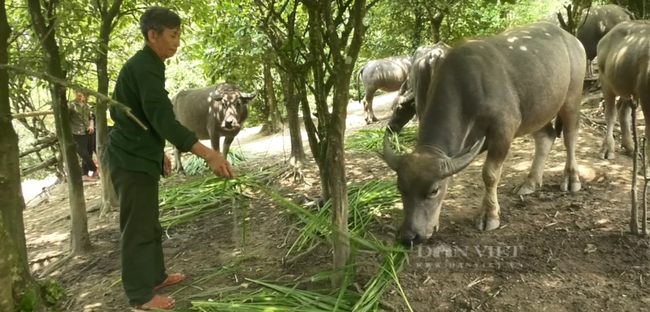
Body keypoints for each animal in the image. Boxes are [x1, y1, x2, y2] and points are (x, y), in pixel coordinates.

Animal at [378, 21, 584, 246]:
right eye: (400, 188)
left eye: (434, 190)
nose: (409, 236)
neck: (468, 88)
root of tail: (571, 39)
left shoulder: (503, 130)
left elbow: (490, 174)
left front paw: (489, 215)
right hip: (537, 111)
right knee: (545, 137)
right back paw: (530, 182)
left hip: (572, 98)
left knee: (570, 136)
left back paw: (571, 179)